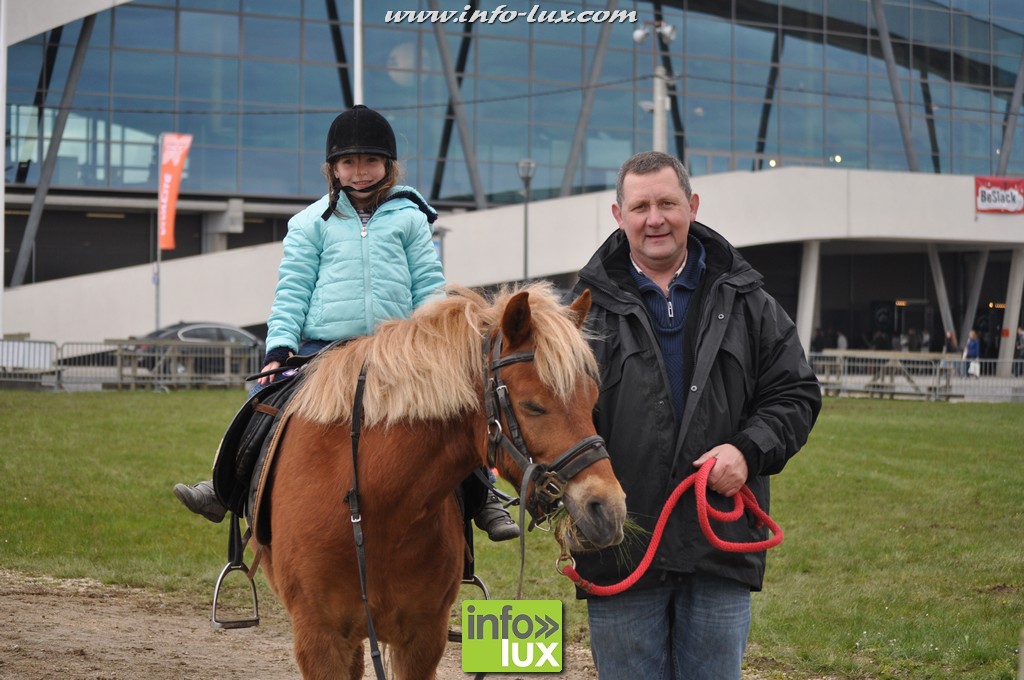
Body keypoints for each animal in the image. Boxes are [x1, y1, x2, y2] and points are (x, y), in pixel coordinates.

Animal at [254, 283, 627, 680]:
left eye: (592, 401)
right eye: (533, 406)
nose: (608, 509)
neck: (378, 507)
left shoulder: (424, 636)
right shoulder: (319, 639)